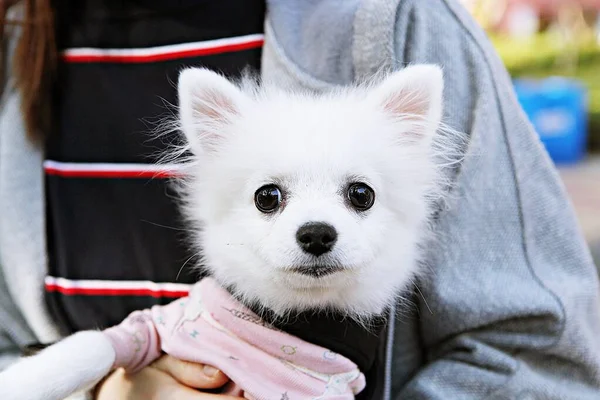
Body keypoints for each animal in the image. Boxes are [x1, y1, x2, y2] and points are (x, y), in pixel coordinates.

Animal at [0, 64, 452, 398]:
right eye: (267, 196)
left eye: (362, 194)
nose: (317, 233)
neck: (291, 320)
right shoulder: (151, 328)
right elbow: (91, 344)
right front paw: (25, 382)